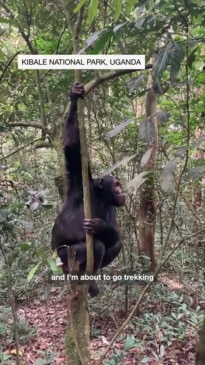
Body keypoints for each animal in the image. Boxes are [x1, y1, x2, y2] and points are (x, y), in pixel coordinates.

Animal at [51, 82, 125, 296]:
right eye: (116, 185)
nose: (122, 191)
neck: (99, 194)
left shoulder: (112, 207)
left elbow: (114, 231)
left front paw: (99, 226)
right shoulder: (78, 178)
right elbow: (71, 145)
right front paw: (74, 96)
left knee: (113, 244)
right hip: (63, 256)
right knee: (97, 246)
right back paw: (83, 278)